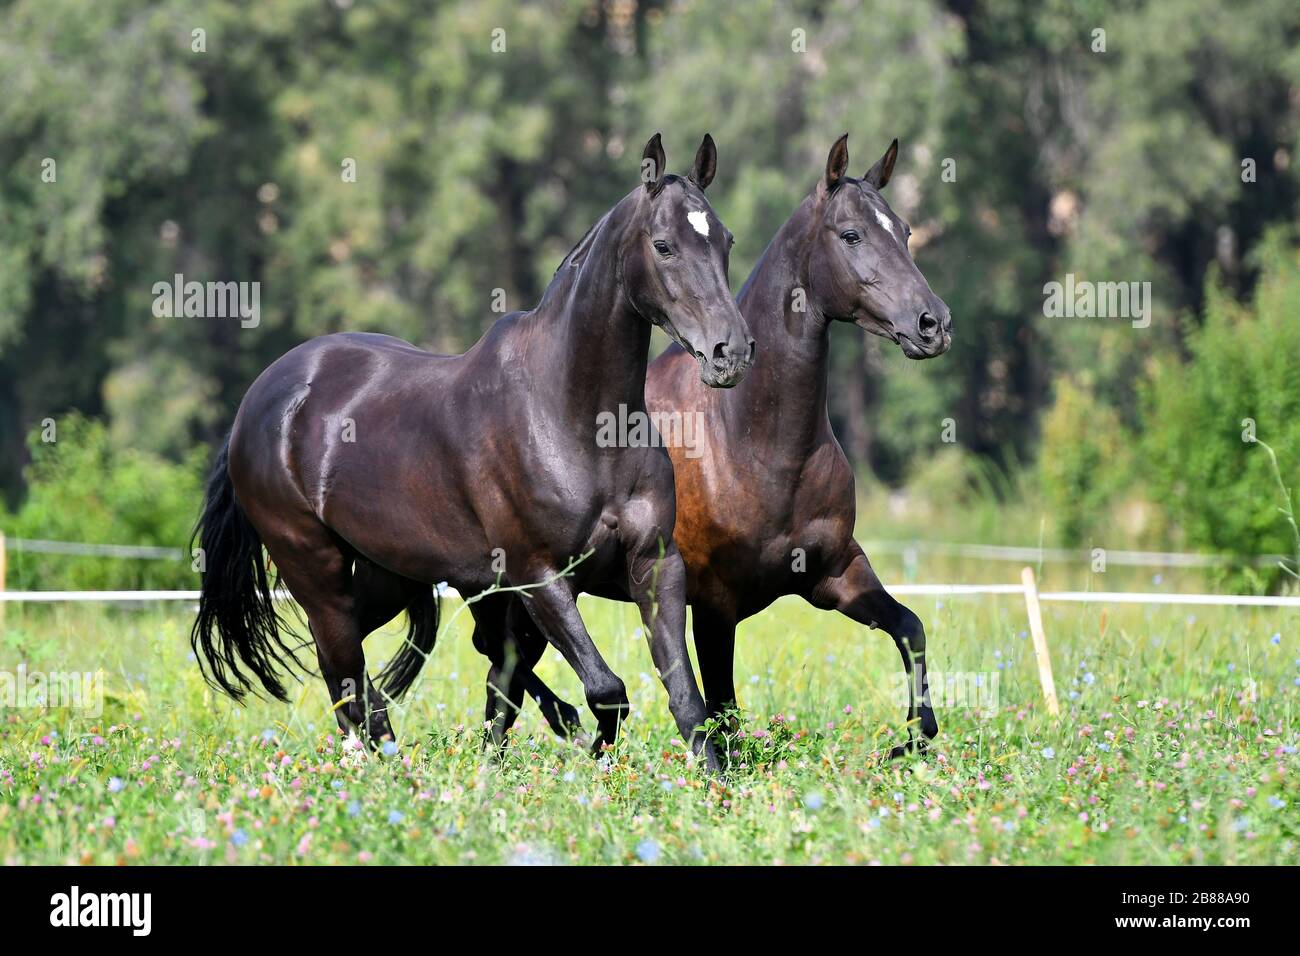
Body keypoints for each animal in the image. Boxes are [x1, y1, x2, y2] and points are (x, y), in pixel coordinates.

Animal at [191, 134, 755, 772]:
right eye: (663, 246)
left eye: (725, 240)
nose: (730, 353)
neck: (571, 414)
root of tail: (259, 401)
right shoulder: (539, 576)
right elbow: (605, 689)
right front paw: (590, 751)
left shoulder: (654, 562)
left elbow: (682, 692)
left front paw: (710, 779)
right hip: (315, 568)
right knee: (345, 674)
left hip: (389, 573)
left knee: (371, 670)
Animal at [495, 135, 952, 758]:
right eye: (852, 234)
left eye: (905, 231)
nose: (933, 324)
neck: (752, 444)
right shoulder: (714, 607)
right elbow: (722, 714)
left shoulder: (836, 574)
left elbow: (911, 628)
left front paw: (909, 741)